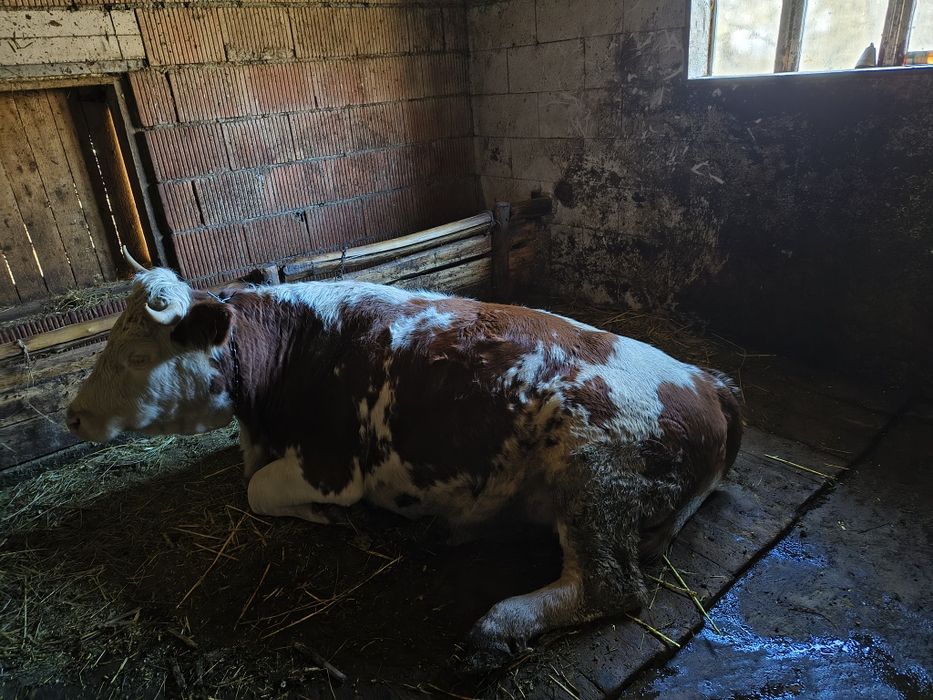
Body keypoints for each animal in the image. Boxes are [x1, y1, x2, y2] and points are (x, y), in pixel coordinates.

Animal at [66, 260, 742, 670]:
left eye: (135, 354)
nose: (72, 415)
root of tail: (704, 376)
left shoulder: (331, 467)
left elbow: (256, 491)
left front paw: (333, 520)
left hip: (593, 468)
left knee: (611, 586)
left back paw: (497, 625)